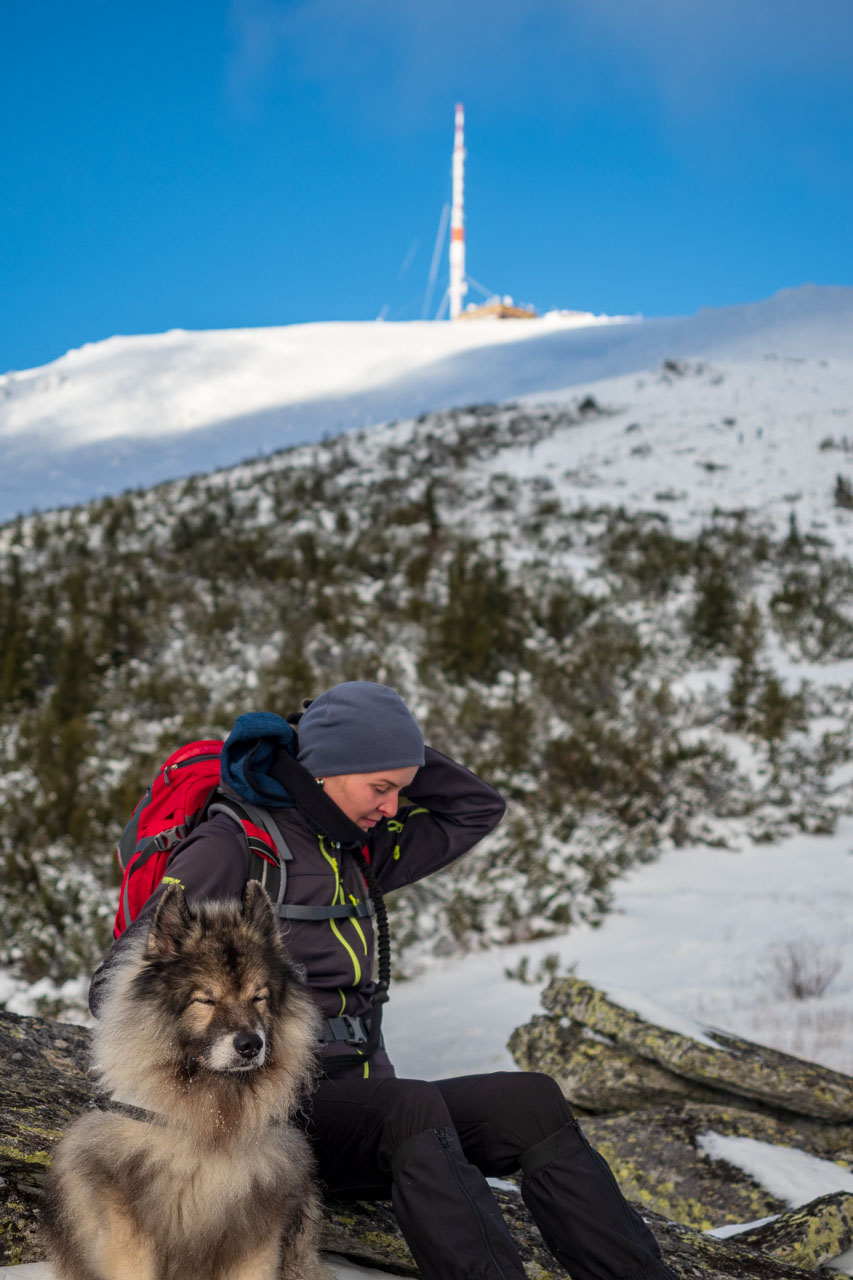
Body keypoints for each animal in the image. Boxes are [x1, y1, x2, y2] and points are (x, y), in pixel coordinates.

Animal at [43, 885, 330, 1280]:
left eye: (259, 996)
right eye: (205, 999)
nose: (250, 1044)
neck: (212, 1119)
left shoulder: (256, 1237)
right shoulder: (131, 1234)